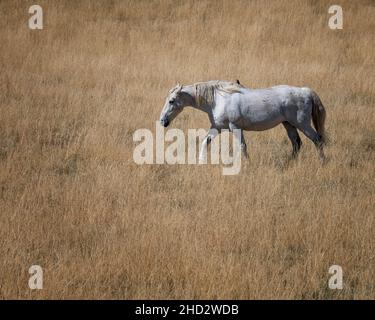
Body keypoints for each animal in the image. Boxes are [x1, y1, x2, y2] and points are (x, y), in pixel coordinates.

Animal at [159, 81, 326, 162]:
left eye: (172, 101)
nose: (162, 121)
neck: (218, 100)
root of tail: (305, 91)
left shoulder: (235, 127)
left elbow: (242, 146)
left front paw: (247, 165)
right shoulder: (217, 127)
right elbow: (205, 142)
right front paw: (201, 161)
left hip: (302, 124)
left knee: (317, 140)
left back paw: (322, 162)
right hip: (289, 124)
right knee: (297, 144)